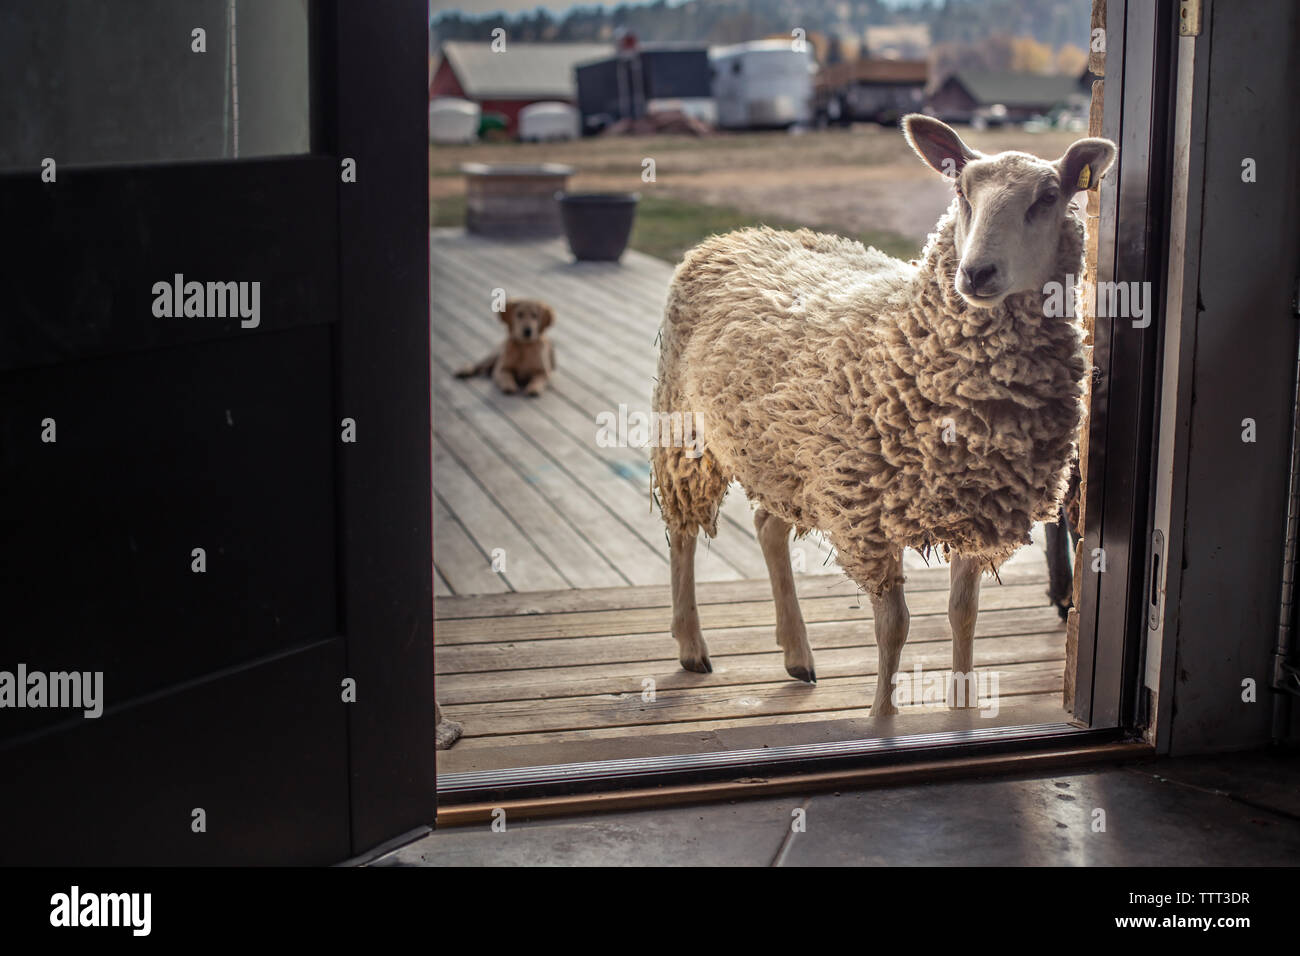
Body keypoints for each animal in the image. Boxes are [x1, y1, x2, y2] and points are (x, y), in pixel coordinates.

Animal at [650, 115, 1118, 712]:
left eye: (1048, 197)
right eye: (963, 193)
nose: (976, 273)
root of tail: (733, 236)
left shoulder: (978, 507)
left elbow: (963, 616)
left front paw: (962, 711)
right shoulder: (866, 517)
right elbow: (894, 626)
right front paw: (881, 716)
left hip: (788, 454)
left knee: (767, 528)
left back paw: (797, 653)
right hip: (685, 427)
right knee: (682, 532)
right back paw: (691, 644)